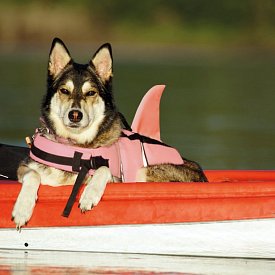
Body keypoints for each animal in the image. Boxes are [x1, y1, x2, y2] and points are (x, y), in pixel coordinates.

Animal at [11, 37, 208, 230]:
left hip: (144, 172)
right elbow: (33, 175)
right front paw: (22, 209)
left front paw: (89, 195)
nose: (75, 115)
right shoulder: (24, 168)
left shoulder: (116, 179)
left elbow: (104, 169)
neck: (74, 147)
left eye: (91, 93)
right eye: (64, 90)